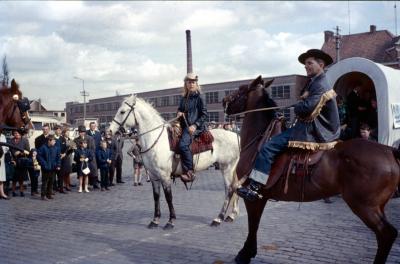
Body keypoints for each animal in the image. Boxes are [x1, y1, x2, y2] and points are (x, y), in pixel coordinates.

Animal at [223, 76, 398, 264]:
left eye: (241, 89)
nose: (224, 100)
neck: (258, 140)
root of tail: (389, 150)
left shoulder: (253, 198)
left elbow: (253, 225)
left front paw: (245, 253)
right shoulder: (262, 198)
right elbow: (254, 225)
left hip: (364, 206)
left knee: (386, 234)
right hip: (377, 206)